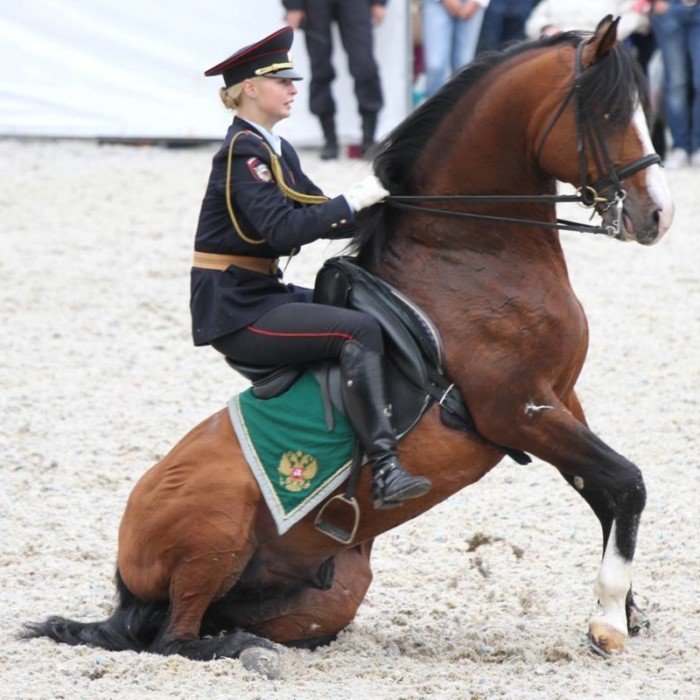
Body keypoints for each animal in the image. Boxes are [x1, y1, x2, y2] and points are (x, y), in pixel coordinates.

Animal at [24, 17, 676, 668]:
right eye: (610, 113)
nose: (659, 215)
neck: (471, 256)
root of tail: (126, 575)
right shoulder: (520, 410)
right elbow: (627, 482)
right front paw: (607, 621)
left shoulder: (561, 398)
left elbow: (605, 492)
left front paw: (626, 610)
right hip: (215, 528)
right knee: (173, 638)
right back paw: (247, 649)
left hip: (333, 589)